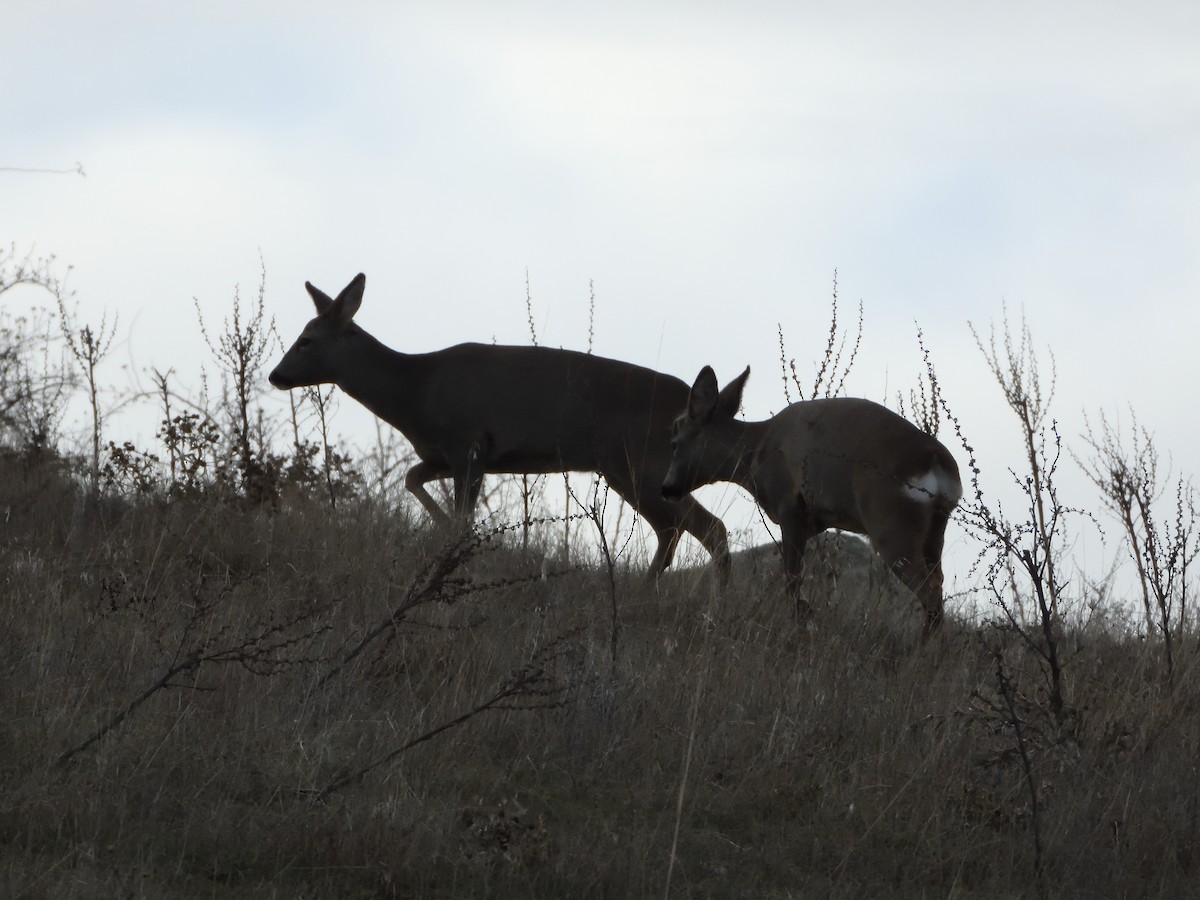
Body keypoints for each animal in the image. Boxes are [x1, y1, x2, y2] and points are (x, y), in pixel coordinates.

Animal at [268, 273, 731, 580]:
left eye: (306, 341)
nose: (275, 375)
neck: (413, 392)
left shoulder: (467, 443)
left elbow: (458, 516)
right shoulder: (445, 454)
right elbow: (412, 479)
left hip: (648, 462)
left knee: (710, 528)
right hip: (623, 470)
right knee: (671, 528)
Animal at [661, 365, 962, 636]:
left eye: (674, 442)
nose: (666, 488)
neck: (756, 453)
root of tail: (939, 463)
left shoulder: (790, 505)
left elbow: (792, 579)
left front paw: (799, 626)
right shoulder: (815, 521)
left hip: (891, 521)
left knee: (930, 590)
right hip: (934, 531)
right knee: (937, 585)